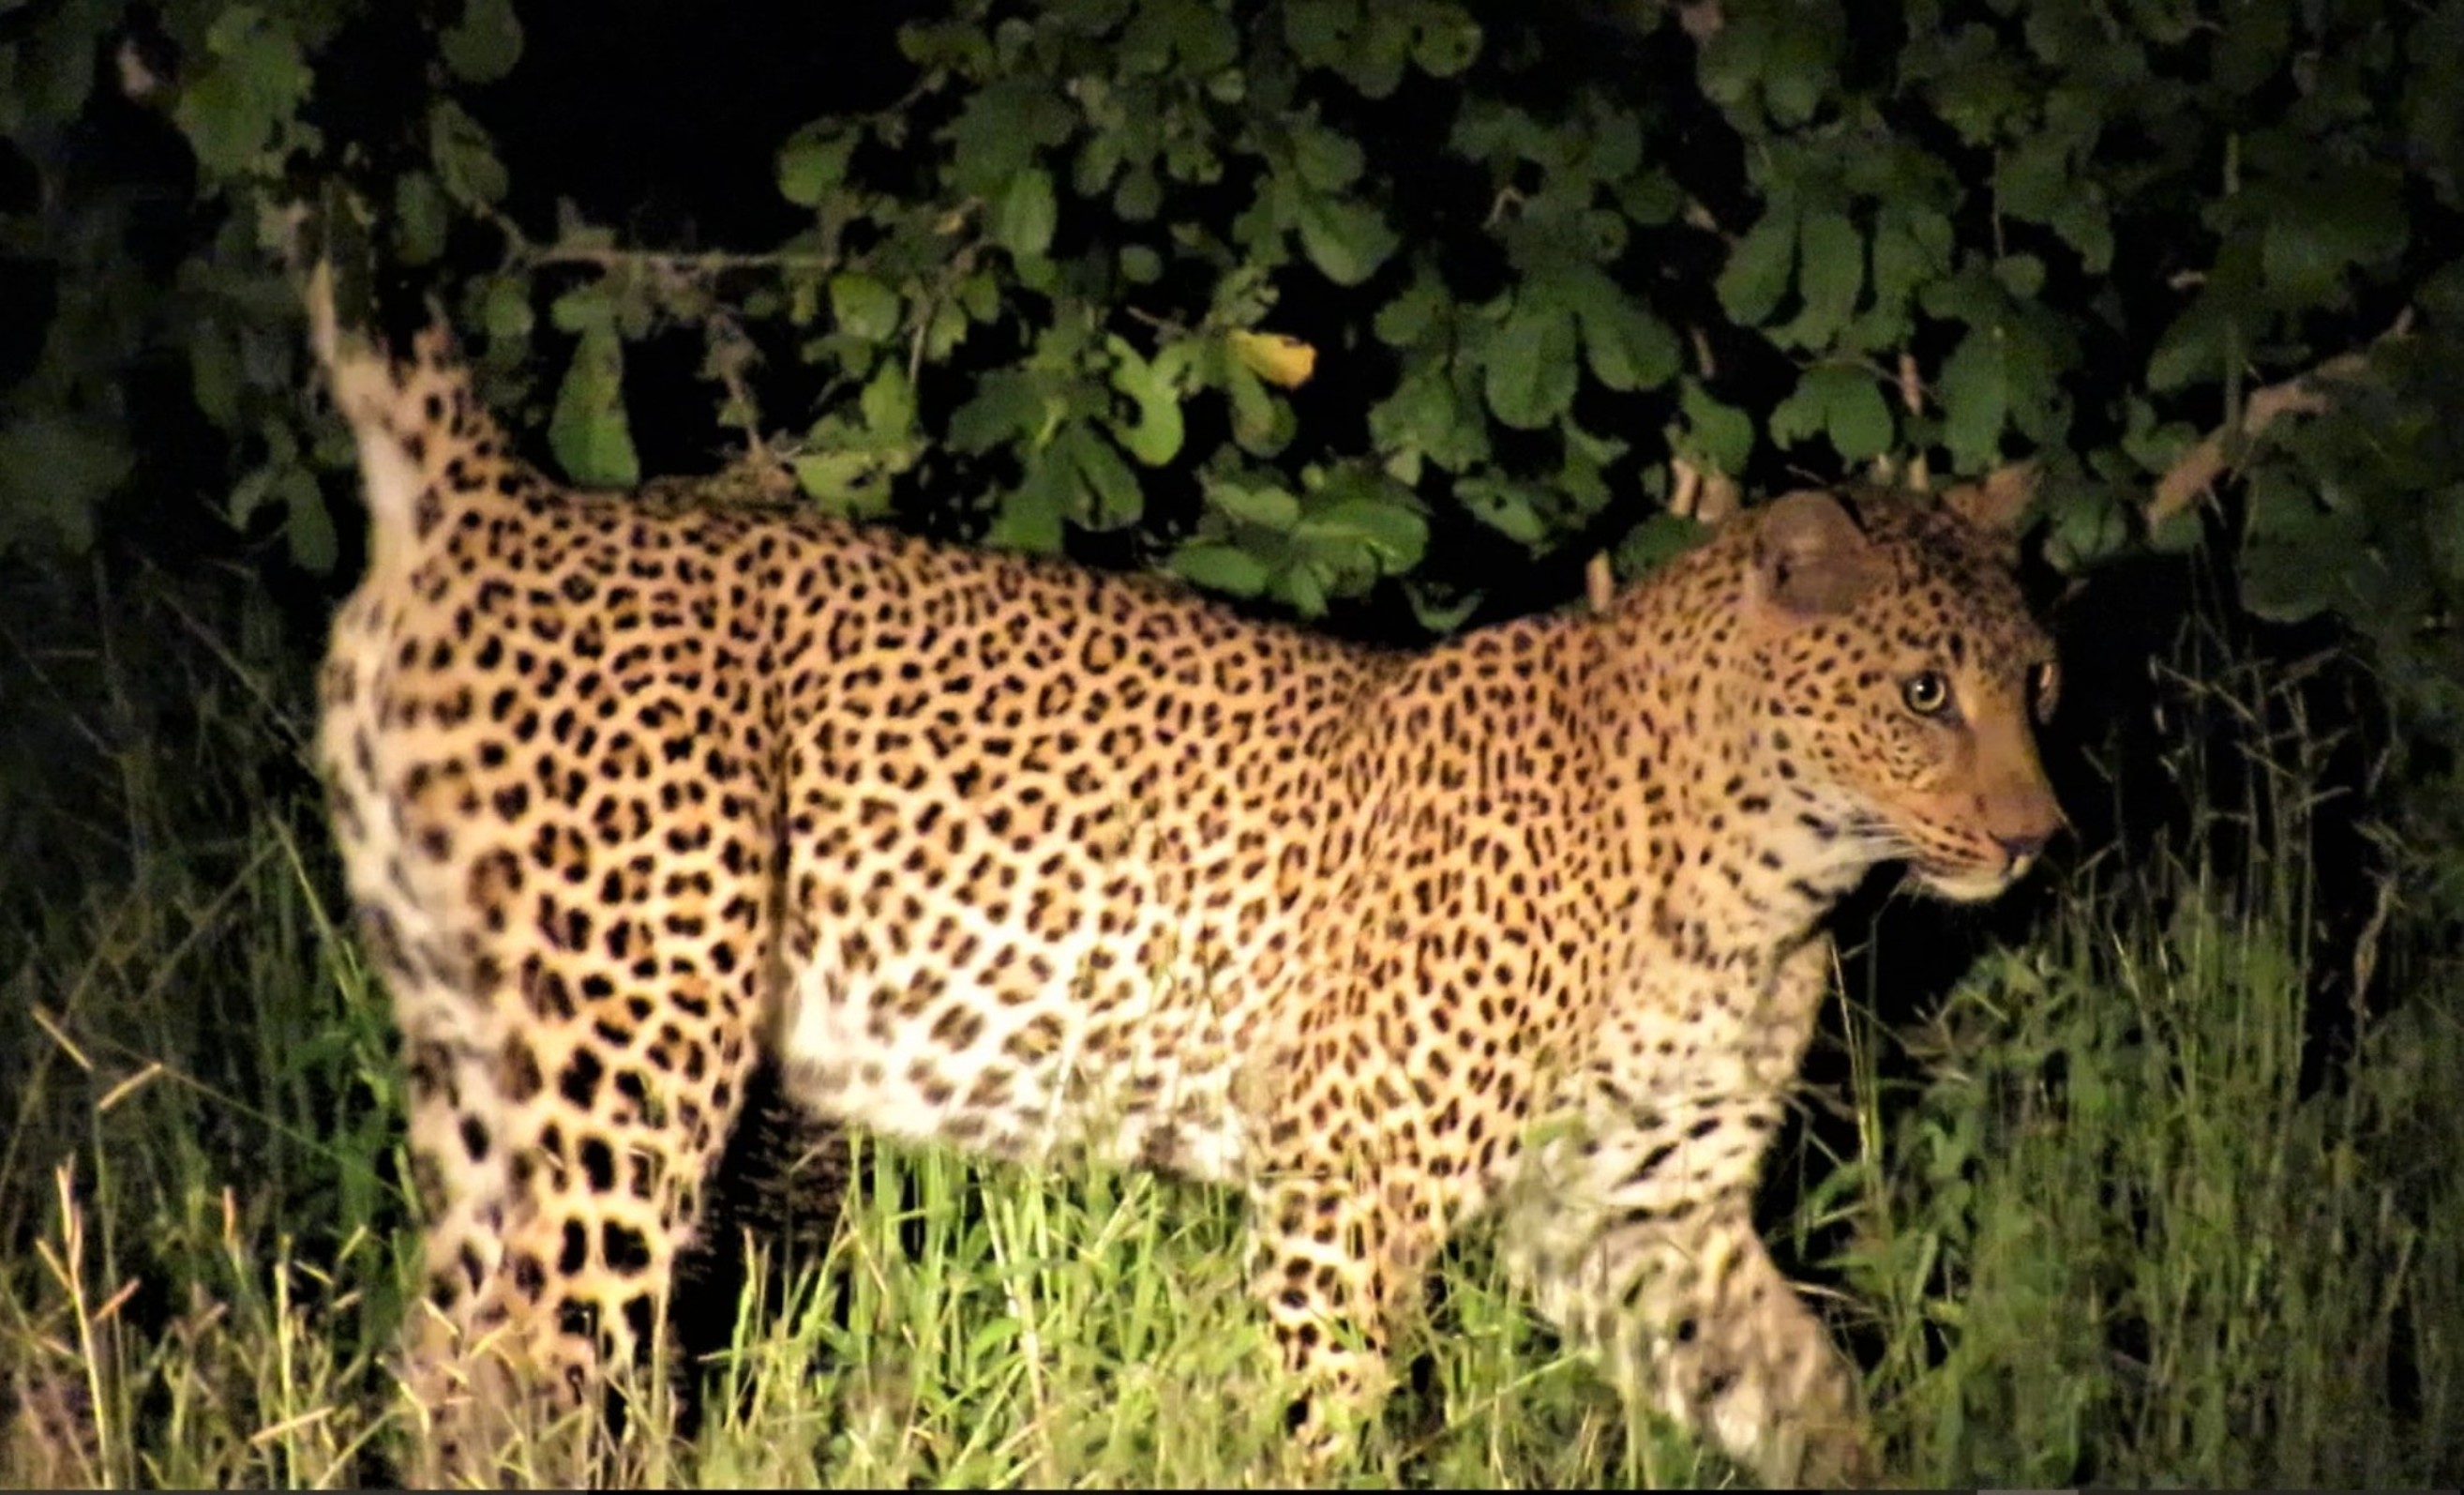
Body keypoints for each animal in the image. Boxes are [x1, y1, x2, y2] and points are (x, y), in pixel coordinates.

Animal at [308, 265, 2069, 1487]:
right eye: (1925, 692)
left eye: (2039, 679)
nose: (2038, 831)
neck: (1767, 885)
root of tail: (498, 496)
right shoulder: (1350, 1182)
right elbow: (1329, 1423)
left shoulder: (1635, 1216)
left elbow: (1809, 1396)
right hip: (627, 1072)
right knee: (524, 1365)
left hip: (479, 1073)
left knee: (438, 1360)